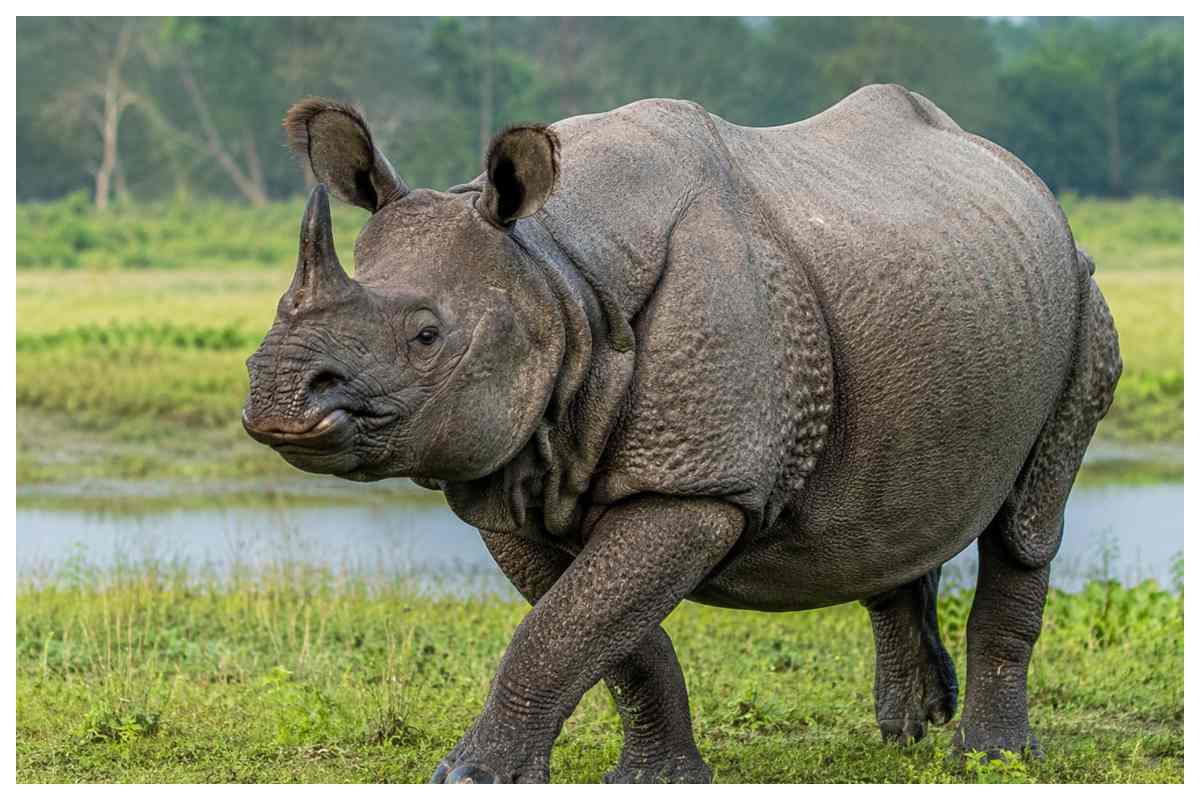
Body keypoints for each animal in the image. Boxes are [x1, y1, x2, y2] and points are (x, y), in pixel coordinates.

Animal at [242, 84, 1121, 783]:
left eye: (426, 336)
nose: (280, 392)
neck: (554, 270)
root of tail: (1027, 180)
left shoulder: (698, 487)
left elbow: (563, 628)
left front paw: (471, 778)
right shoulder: (514, 472)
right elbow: (609, 637)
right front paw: (654, 779)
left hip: (1079, 293)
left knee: (1028, 522)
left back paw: (993, 760)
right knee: (889, 512)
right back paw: (906, 733)